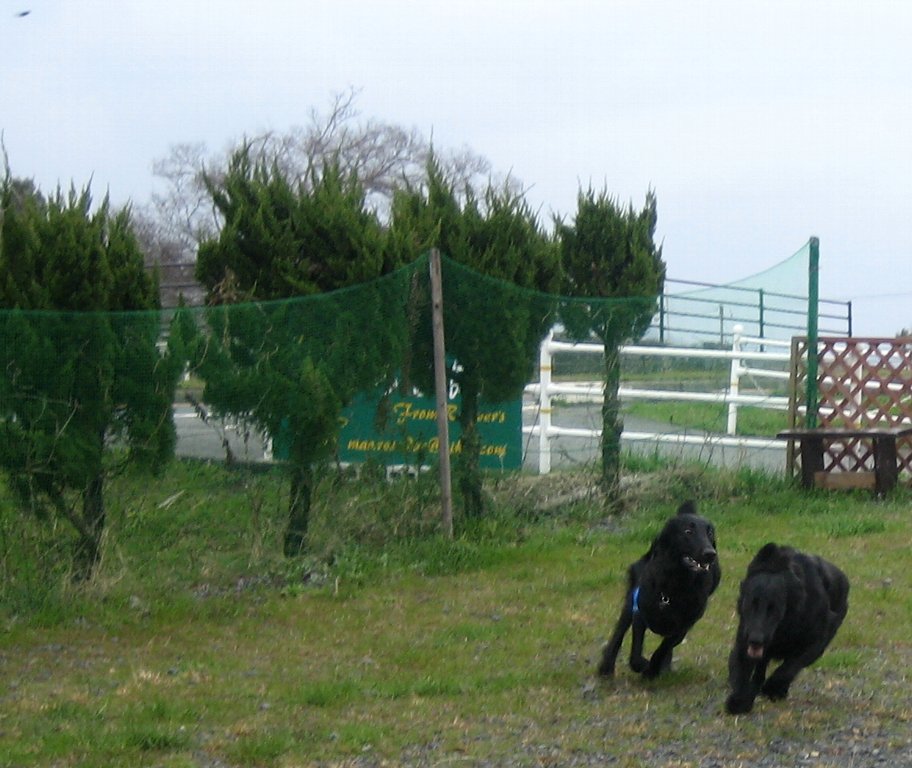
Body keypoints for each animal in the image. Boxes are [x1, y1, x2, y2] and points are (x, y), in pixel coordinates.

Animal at [597, 500, 721, 679]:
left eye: (709, 533)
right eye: (688, 531)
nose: (710, 553)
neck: (677, 584)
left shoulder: (684, 626)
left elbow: (663, 648)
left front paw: (653, 670)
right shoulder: (640, 614)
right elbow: (635, 652)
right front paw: (643, 666)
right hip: (631, 598)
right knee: (619, 632)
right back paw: (606, 667)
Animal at [725, 543, 849, 714]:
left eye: (774, 608)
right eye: (751, 603)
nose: (756, 640)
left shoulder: (816, 642)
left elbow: (789, 667)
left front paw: (772, 688)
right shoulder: (744, 640)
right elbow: (741, 671)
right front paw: (740, 700)